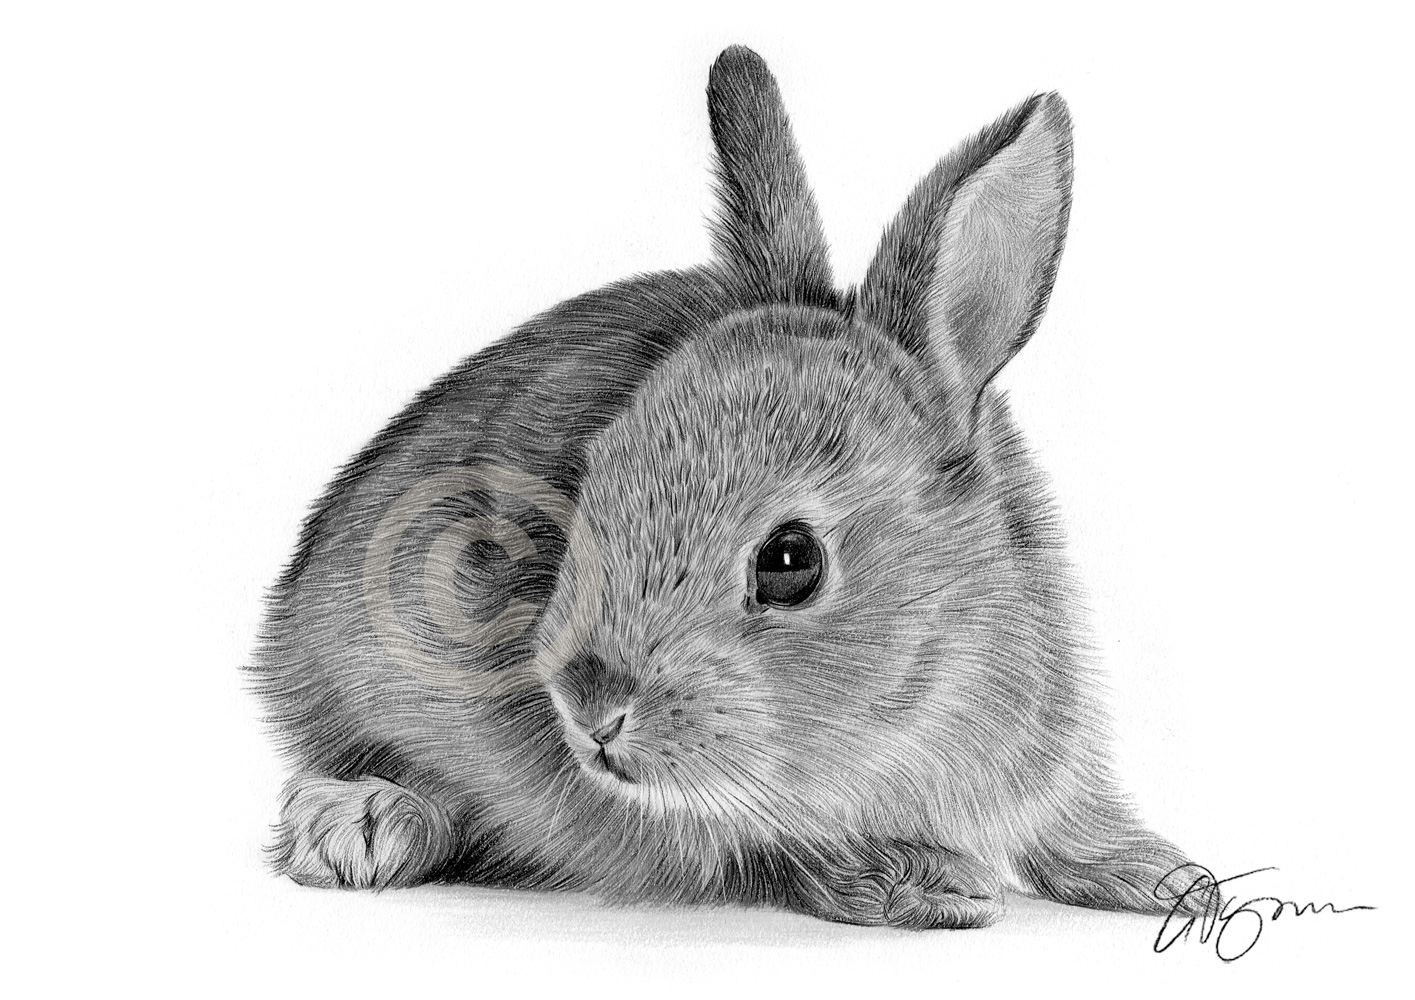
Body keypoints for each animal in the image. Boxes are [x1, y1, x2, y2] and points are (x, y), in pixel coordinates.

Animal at [251, 44, 1198, 930]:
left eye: (790, 562)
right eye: (594, 477)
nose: (590, 708)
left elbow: (1067, 824)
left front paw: (1165, 879)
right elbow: (764, 850)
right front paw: (919, 879)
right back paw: (360, 824)